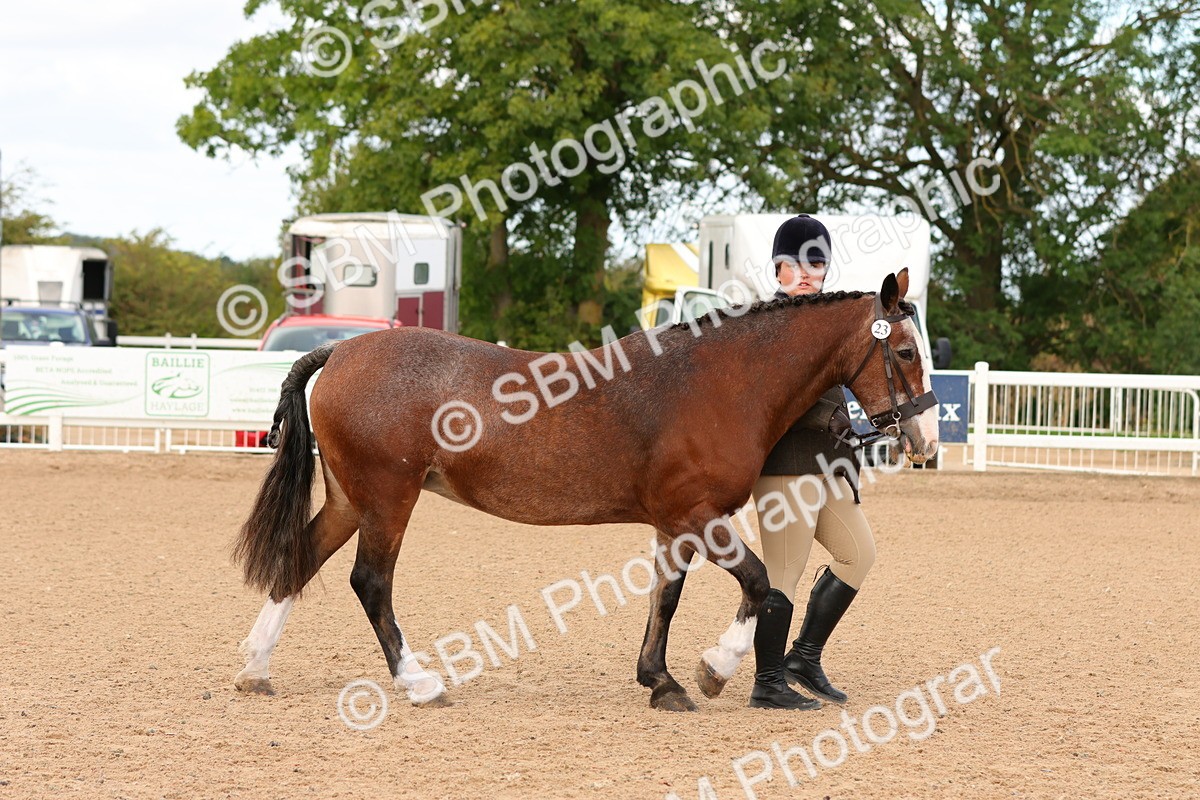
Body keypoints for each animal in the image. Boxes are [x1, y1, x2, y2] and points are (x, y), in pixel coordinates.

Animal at [232, 269, 940, 711]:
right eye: (905, 351)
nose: (927, 437)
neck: (717, 380)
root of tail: (343, 351)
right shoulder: (699, 516)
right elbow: (760, 583)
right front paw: (715, 668)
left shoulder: (674, 525)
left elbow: (665, 599)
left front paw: (661, 681)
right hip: (387, 501)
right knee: (370, 584)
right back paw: (420, 684)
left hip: (351, 500)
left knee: (300, 558)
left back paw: (256, 667)